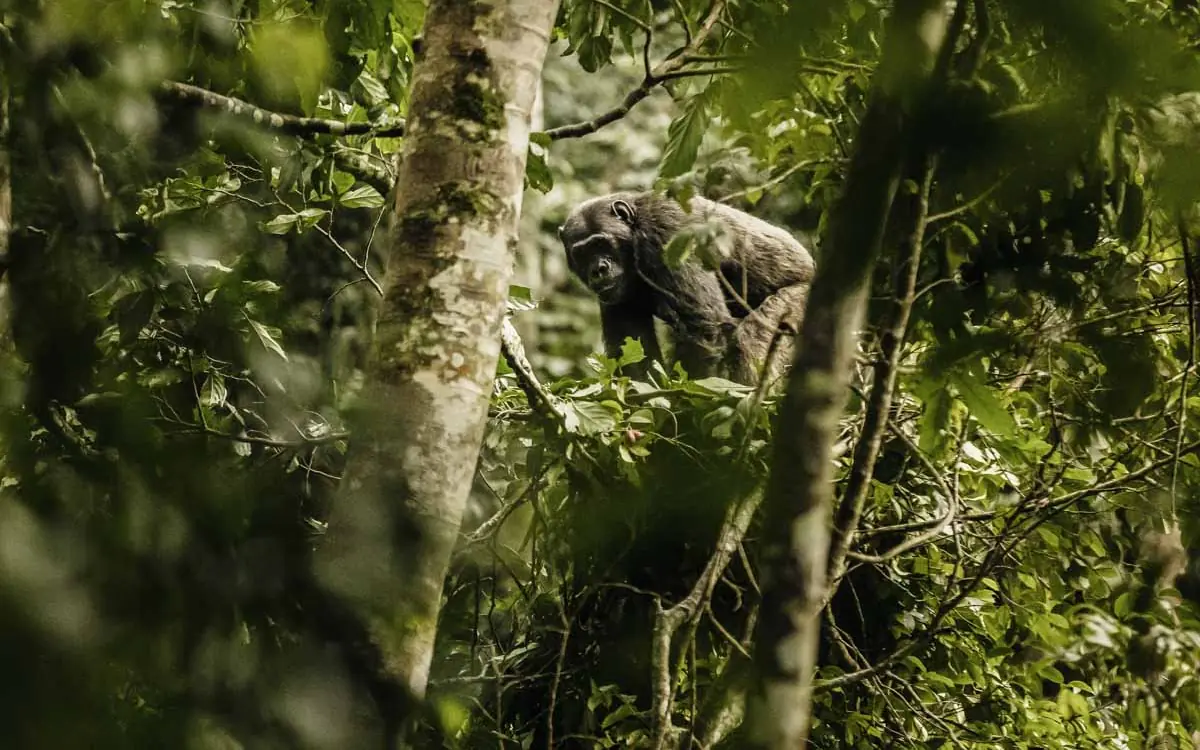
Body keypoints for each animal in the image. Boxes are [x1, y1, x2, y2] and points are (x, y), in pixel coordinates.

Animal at [558, 190, 815, 386]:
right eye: (582, 253)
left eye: (600, 244)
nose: (598, 269)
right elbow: (634, 354)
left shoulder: (667, 232)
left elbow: (704, 329)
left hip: (800, 300)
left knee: (755, 336)